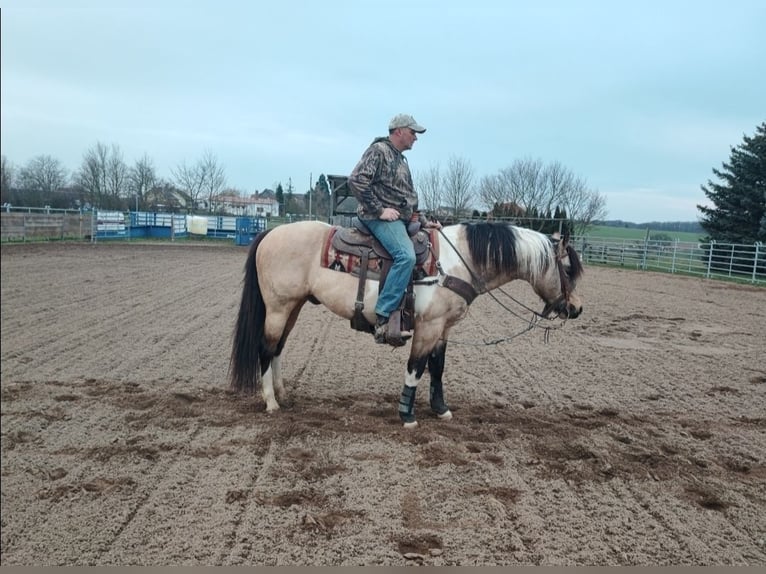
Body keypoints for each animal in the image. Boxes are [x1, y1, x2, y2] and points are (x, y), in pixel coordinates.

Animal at [231, 220, 584, 428]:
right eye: (568, 268)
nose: (577, 308)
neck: (457, 262)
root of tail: (270, 233)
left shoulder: (443, 328)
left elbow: (437, 367)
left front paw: (441, 409)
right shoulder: (428, 326)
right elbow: (416, 367)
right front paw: (407, 414)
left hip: (294, 307)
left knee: (278, 348)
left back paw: (283, 394)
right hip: (278, 307)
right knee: (266, 348)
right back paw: (271, 402)